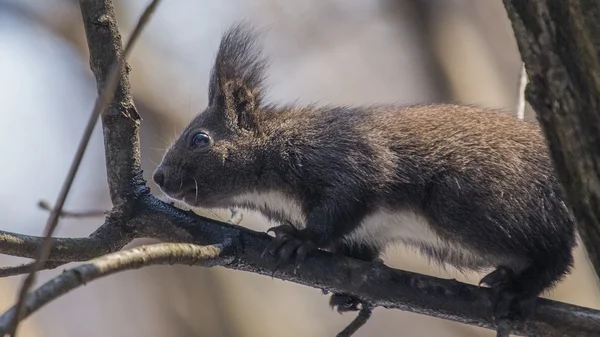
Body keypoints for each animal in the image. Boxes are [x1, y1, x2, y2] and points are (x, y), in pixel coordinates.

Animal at [154, 23, 576, 328]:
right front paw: (349, 294)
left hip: (466, 204)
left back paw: (523, 285)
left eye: (200, 139)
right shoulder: (363, 232)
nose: (159, 178)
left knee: (558, 251)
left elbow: (339, 209)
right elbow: (359, 250)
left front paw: (301, 239)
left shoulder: (346, 163)